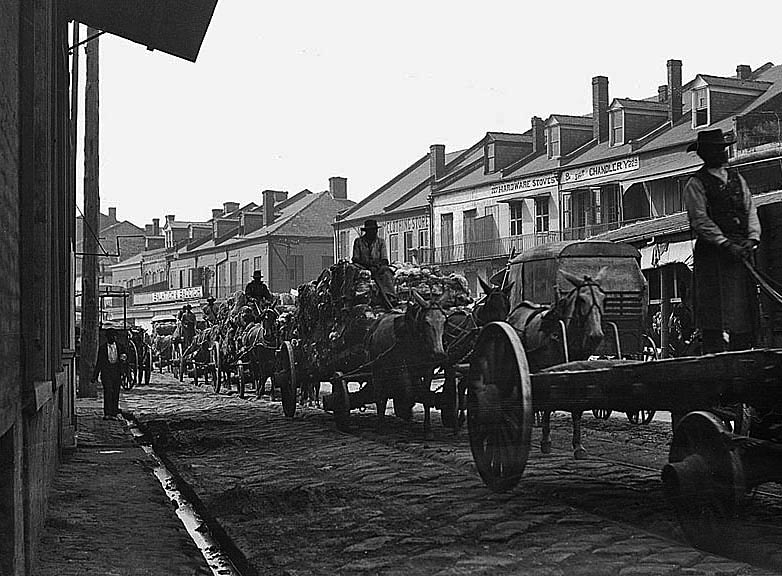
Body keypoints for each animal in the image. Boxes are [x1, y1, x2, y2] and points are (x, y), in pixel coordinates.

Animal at [506, 268, 608, 462]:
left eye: (603, 298)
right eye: (581, 300)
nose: (596, 335)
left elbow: (577, 407)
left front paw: (578, 446)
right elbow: (547, 404)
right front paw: (545, 441)